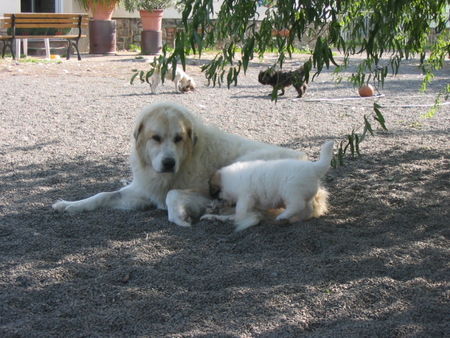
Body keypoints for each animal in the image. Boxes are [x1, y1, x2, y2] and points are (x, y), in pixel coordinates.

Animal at [202, 141, 332, 232]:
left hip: (290, 191)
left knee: (297, 205)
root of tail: (313, 168)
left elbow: (240, 210)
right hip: (305, 195)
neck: (228, 179)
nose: (212, 202)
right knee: (308, 210)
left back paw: (282, 216)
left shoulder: (245, 196)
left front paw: (236, 216)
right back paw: (296, 219)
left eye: (214, 193)